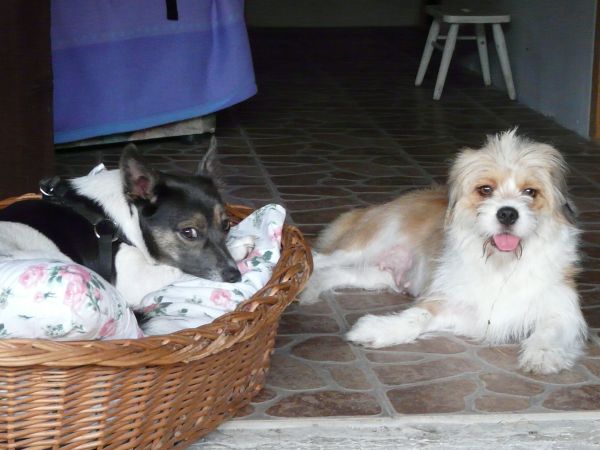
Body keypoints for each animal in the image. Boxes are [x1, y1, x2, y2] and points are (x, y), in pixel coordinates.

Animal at [0, 137, 248, 307]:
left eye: (226, 225)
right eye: (189, 232)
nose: (235, 276)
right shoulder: (133, 281)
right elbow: (178, 269)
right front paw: (240, 247)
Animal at [300, 130, 587, 374]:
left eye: (530, 192)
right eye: (485, 189)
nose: (507, 213)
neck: (502, 265)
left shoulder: (561, 308)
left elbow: (551, 329)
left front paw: (542, 354)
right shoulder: (451, 301)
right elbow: (417, 317)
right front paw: (379, 329)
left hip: (376, 274)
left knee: (338, 273)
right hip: (364, 246)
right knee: (320, 260)